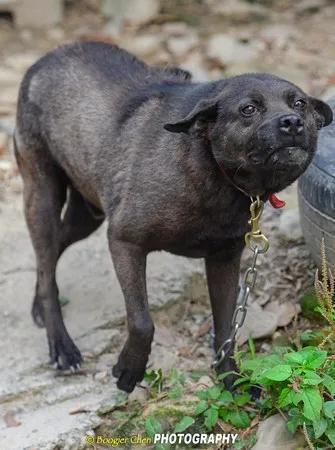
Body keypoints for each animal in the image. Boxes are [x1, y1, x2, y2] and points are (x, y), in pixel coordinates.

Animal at [13, 43, 334, 394]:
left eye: (300, 103)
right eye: (248, 109)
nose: (292, 122)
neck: (211, 167)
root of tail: (50, 56)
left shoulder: (224, 260)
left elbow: (226, 329)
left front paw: (231, 380)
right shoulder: (124, 241)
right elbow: (142, 321)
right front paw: (130, 369)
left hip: (87, 214)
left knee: (51, 255)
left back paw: (38, 307)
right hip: (43, 197)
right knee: (46, 258)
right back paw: (61, 345)